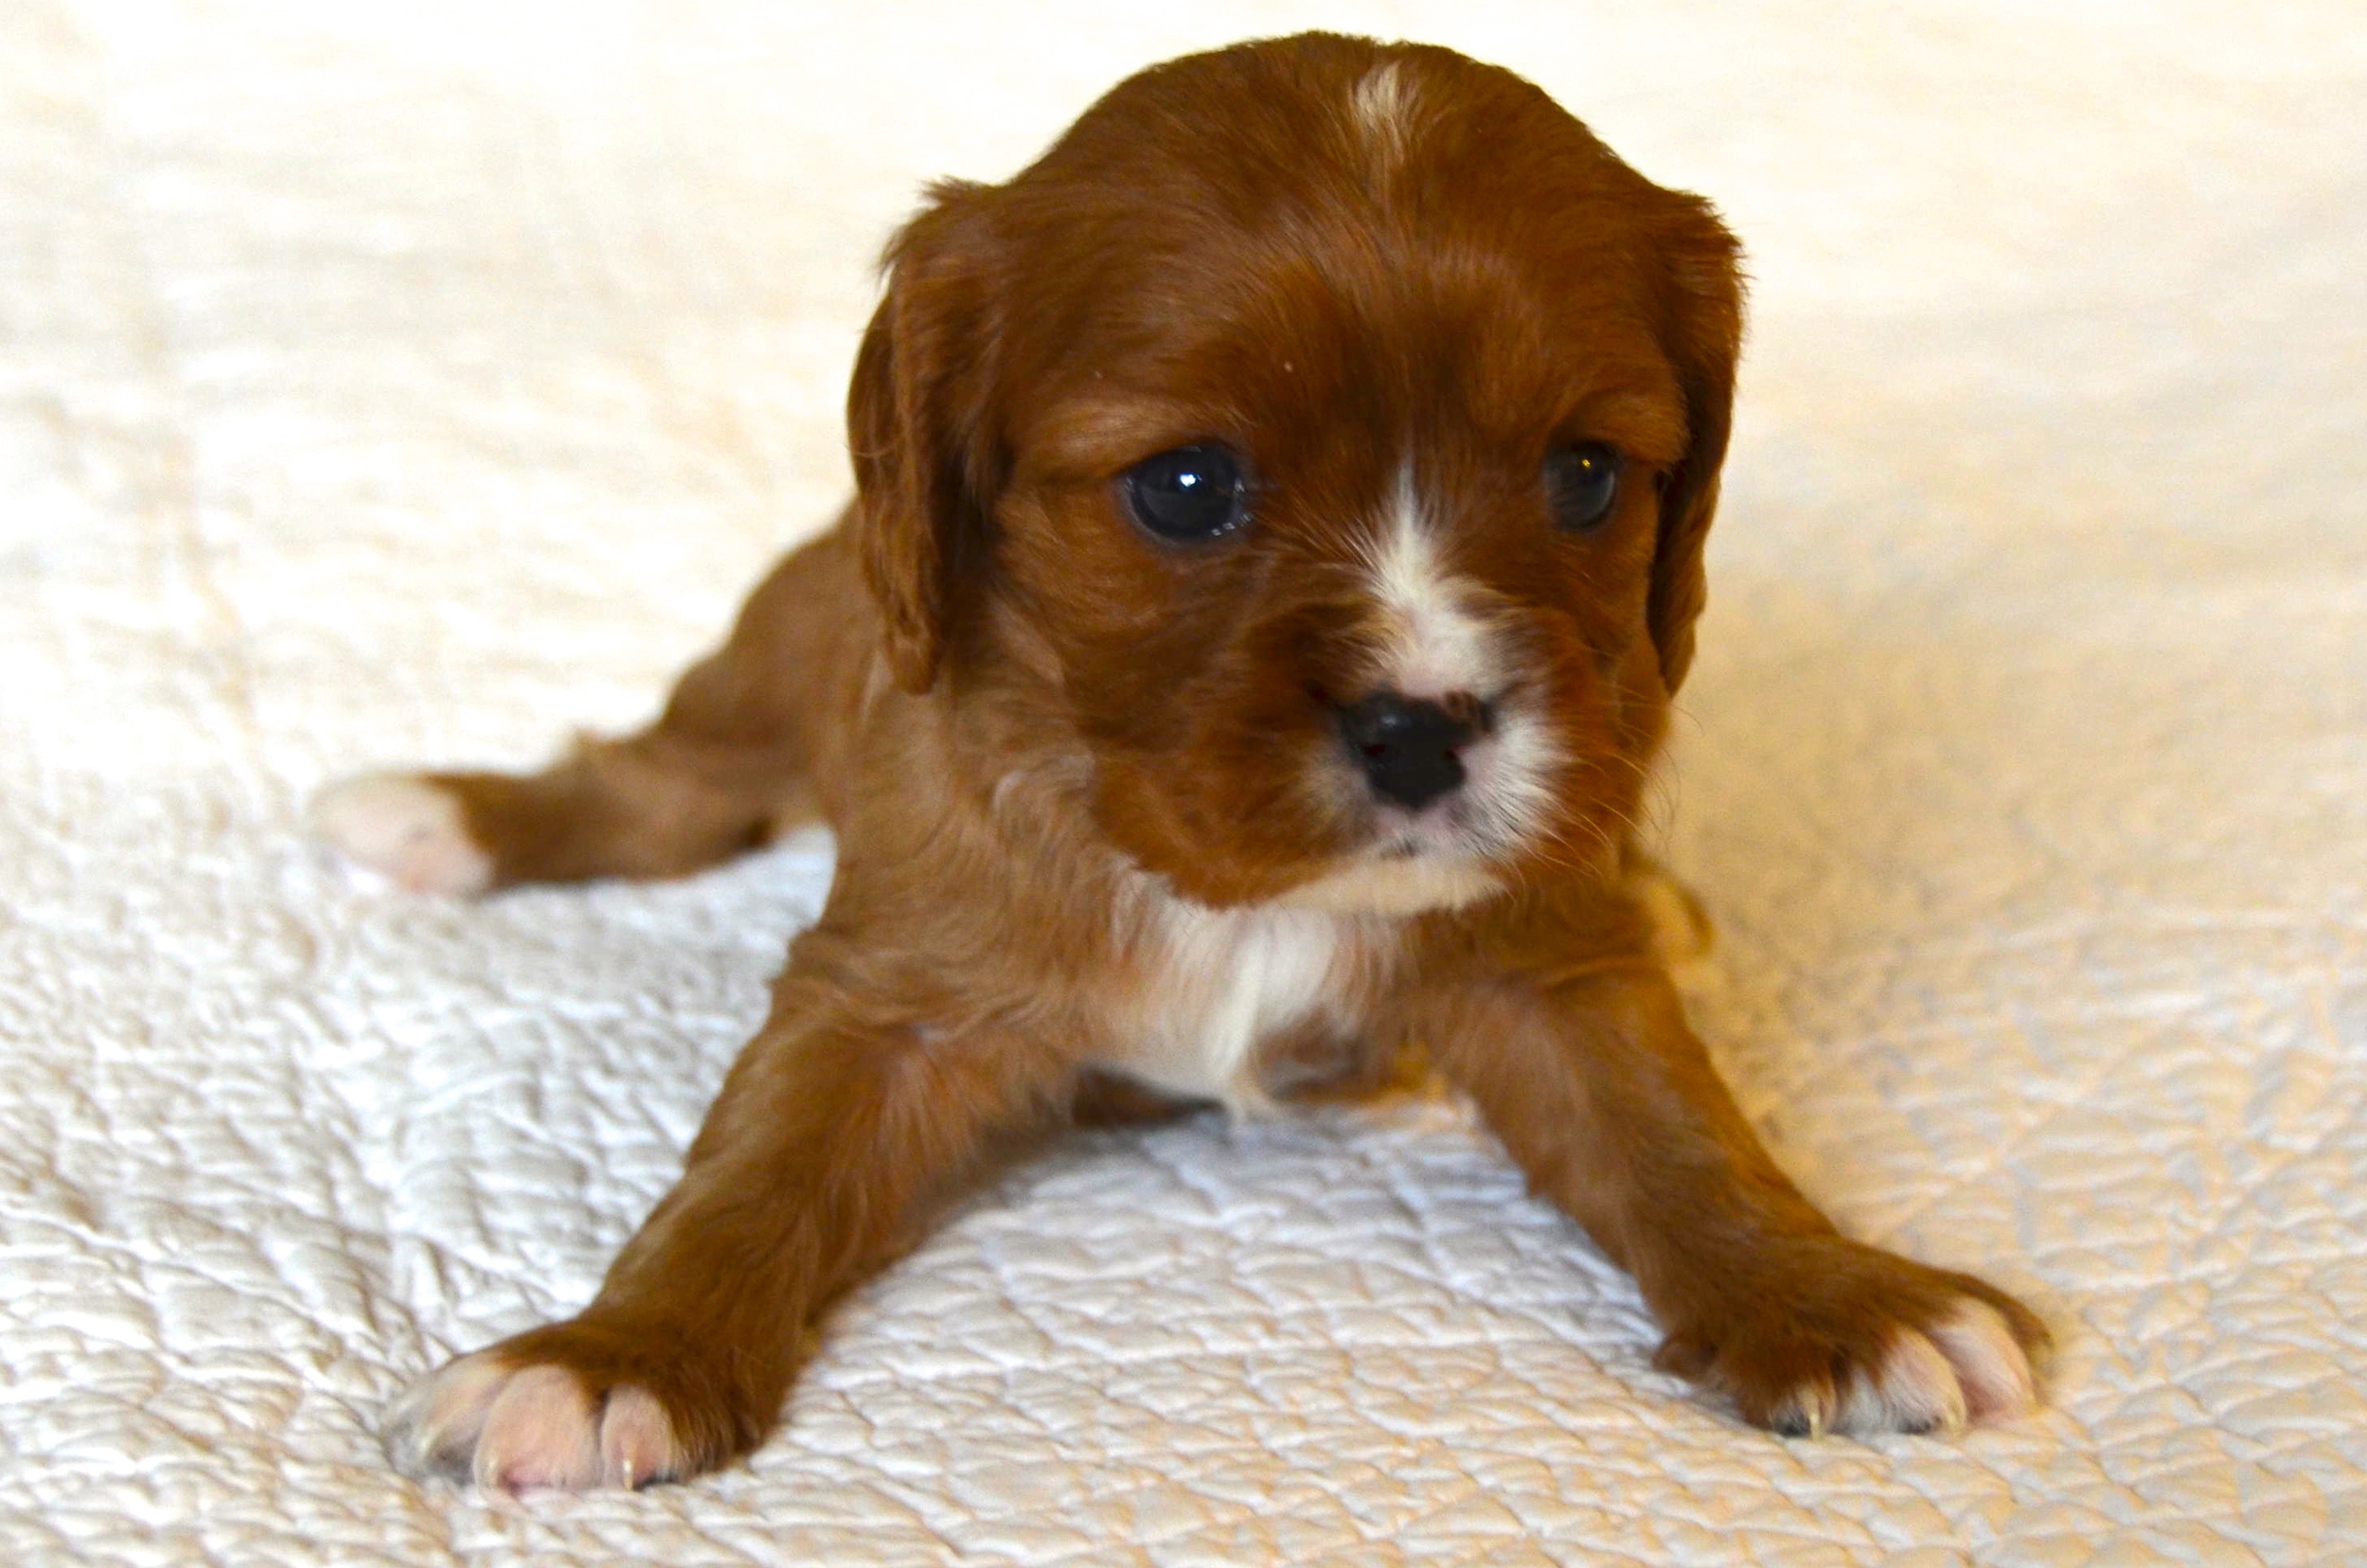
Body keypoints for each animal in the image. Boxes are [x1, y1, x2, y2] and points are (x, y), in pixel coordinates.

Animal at [319, 30, 2055, 1496]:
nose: (1423, 724)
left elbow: (1680, 1137)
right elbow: (755, 1165)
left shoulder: (1550, 968)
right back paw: (444, 816)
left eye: (1584, 475)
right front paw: (612, 1358)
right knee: (669, 775)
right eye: (1185, 487)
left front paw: (1831, 1298)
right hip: (778, 639)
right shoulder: (887, 987)